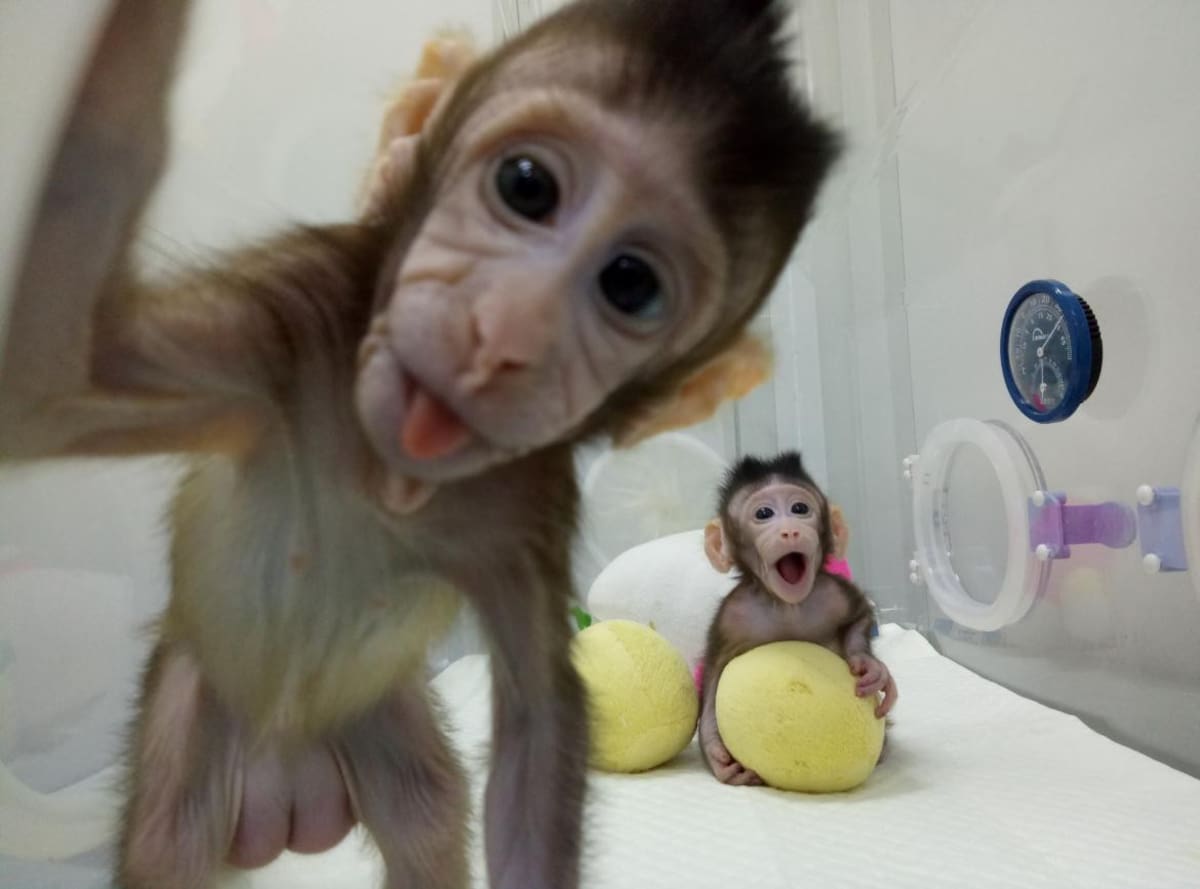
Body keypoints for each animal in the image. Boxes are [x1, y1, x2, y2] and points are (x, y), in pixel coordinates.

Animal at [0, 1, 839, 886]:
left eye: (630, 284)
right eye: (526, 186)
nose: (504, 330)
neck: (386, 467)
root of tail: (287, 782)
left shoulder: (527, 503)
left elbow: (536, 727)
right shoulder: (296, 305)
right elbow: (52, 380)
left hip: (381, 715)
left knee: (426, 817)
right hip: (197, 708)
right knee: (170, 838)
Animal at [699, 452, 897, 786]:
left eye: (800, 509)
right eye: (764, 513)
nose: (790, 530)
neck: (787, 606)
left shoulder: (832, 592)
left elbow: (859, 617)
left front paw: (870, 667)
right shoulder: (731, 616)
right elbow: (714, 673)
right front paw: (715, 751)